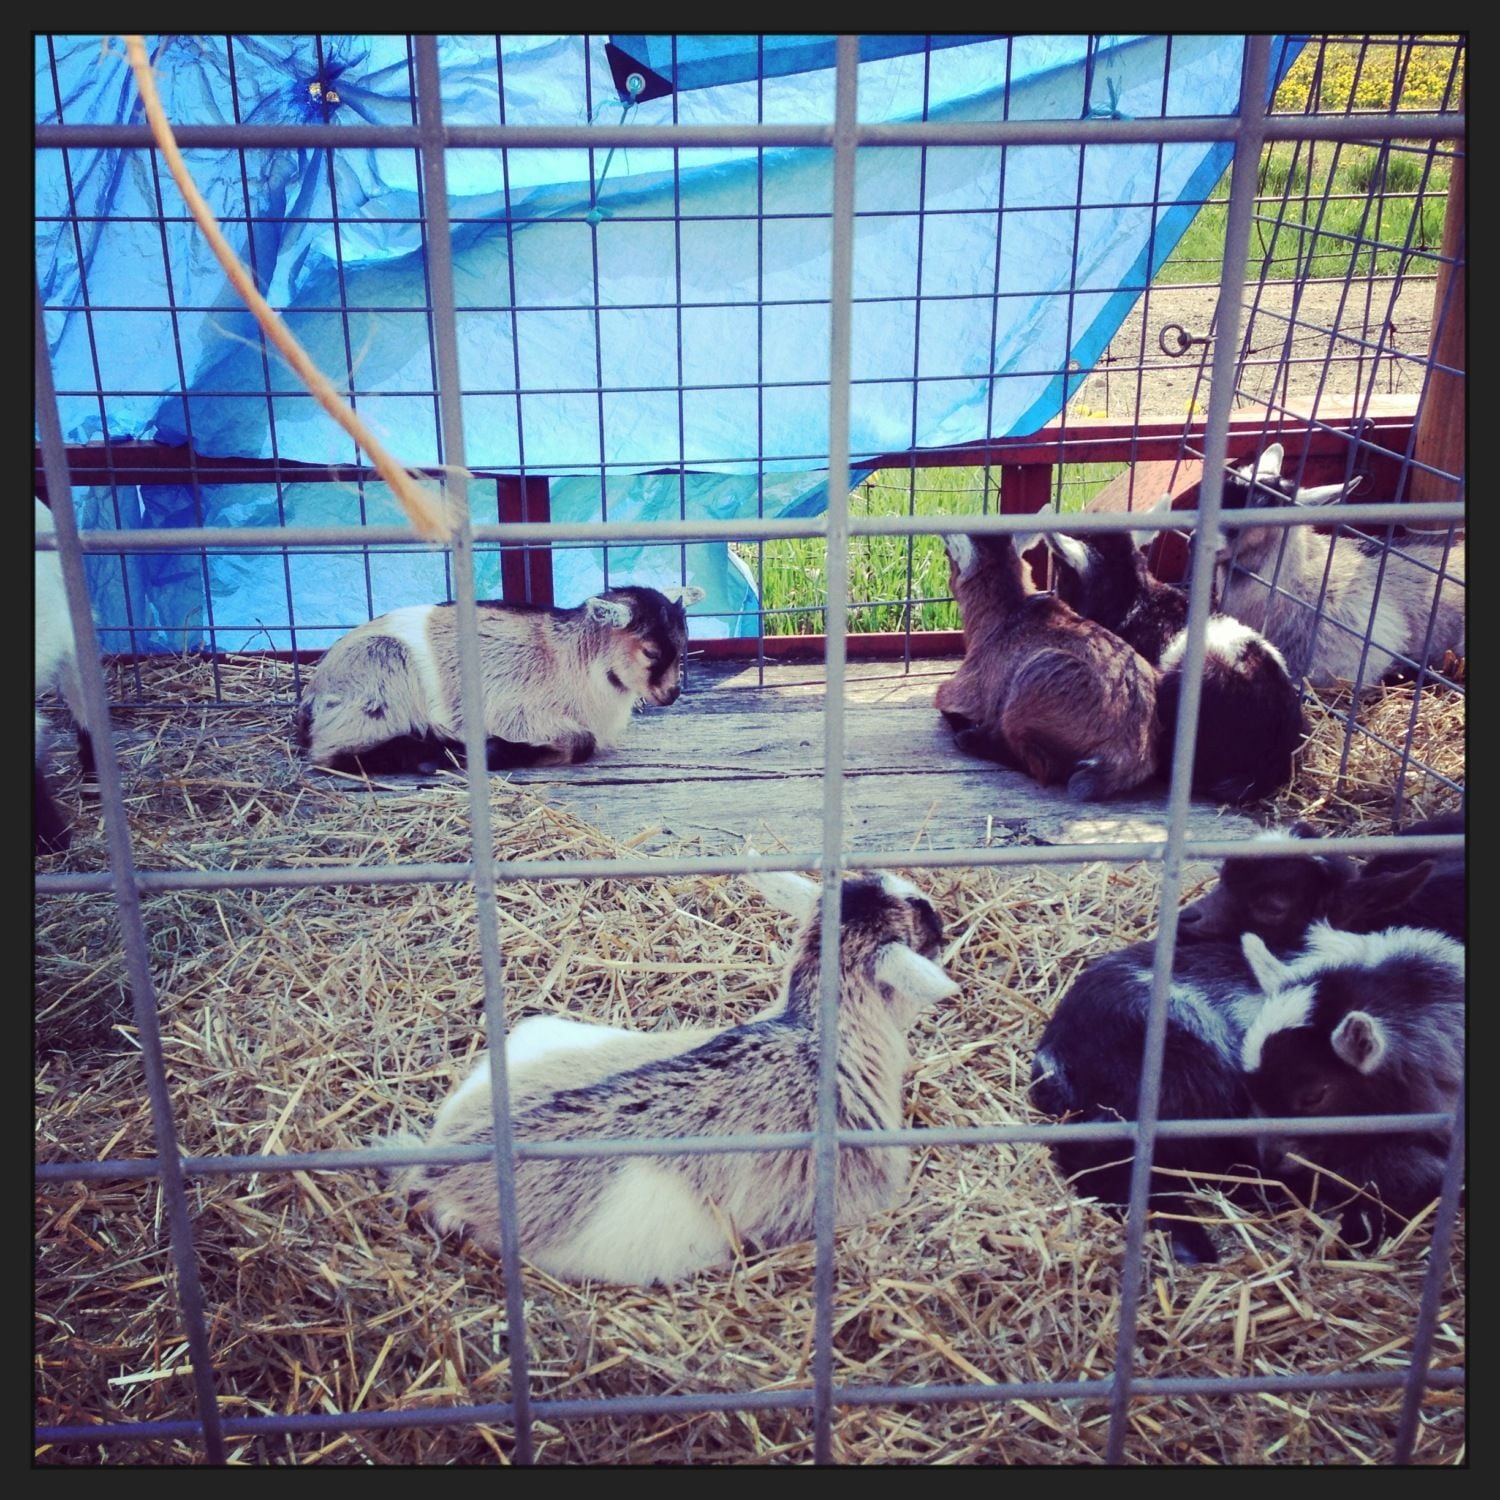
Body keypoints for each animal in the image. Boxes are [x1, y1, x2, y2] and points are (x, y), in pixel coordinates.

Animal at [297, 584, 705, 775]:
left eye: (684, 643)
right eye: (651, 652)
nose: (673, 693)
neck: (571, 658)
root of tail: (314, 691)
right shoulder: (513, 710)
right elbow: (580, 741)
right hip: (381, 668)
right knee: (333, 752)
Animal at [934, 532, 1159, 799]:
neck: (1006, 613)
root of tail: (1126, 758)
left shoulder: (966, 690)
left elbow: (944, 705)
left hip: (1034, 680)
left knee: (1043, 767)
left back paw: (971, 738)